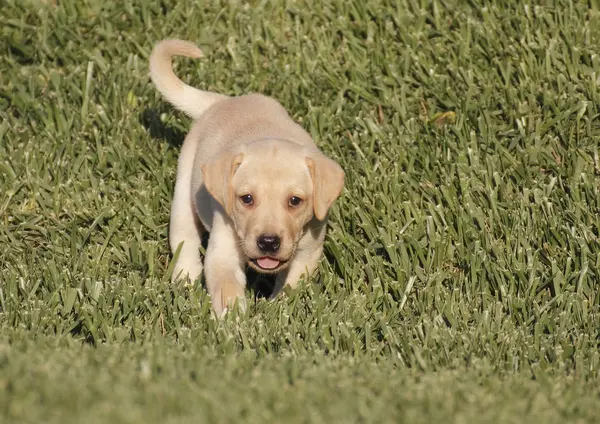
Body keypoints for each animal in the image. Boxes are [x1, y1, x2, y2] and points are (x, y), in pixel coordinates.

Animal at [150, 39, 344, 316]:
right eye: (247, 199)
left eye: (295, 201)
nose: (268, 242)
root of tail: (221, 102)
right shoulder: (223, 249)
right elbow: (227, 289)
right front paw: (234, 321)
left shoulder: (308, 249)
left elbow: (292, 284)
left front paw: (278, 310)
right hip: (184, 190)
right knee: (184, 235)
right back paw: (185, 277)